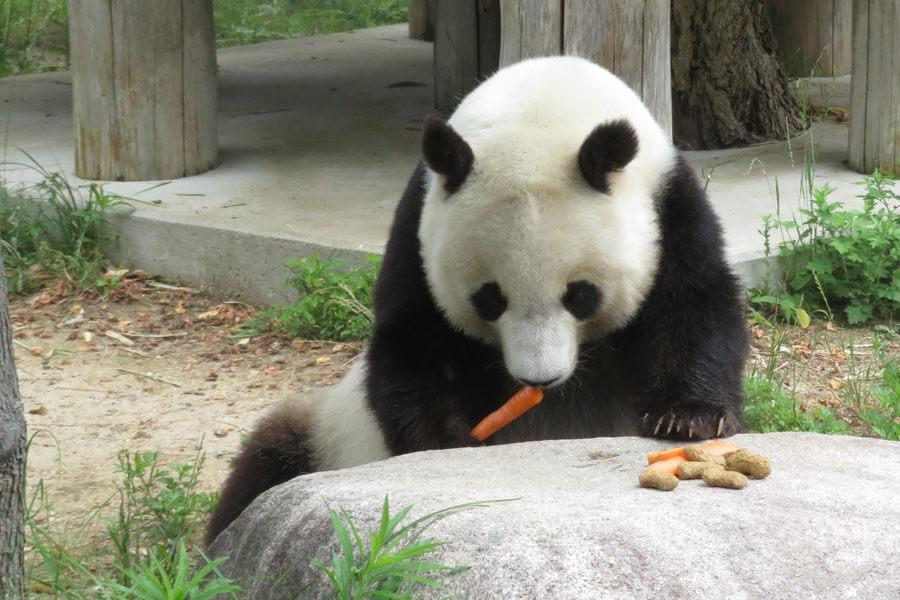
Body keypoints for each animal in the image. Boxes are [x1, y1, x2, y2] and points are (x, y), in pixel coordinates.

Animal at [207, 58, 748, 548]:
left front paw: (687, 417)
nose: (538, 379)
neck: (547, 99)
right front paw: (448, 440)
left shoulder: (669, 208)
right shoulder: (418, 232)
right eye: (490, 298)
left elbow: (695, 306)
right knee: (263, 467)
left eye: (580, 295)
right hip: (324, 432)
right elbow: (412, 343)